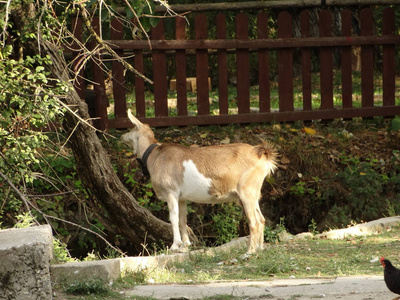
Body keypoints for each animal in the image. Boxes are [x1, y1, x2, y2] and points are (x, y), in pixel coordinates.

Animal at [121, 108, 278, 253]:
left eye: (131, 128)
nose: (122, 136)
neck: (154, 155)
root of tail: (262, 155)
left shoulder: (171, 192)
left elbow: (173, 218)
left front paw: (174, 246)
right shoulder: (181, 198)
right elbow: (183, 220)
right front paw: (185, 246)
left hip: (247, 191)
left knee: (254, 222)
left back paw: (249, 252)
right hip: (252, 193)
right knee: (262, 219)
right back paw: (260, 249)